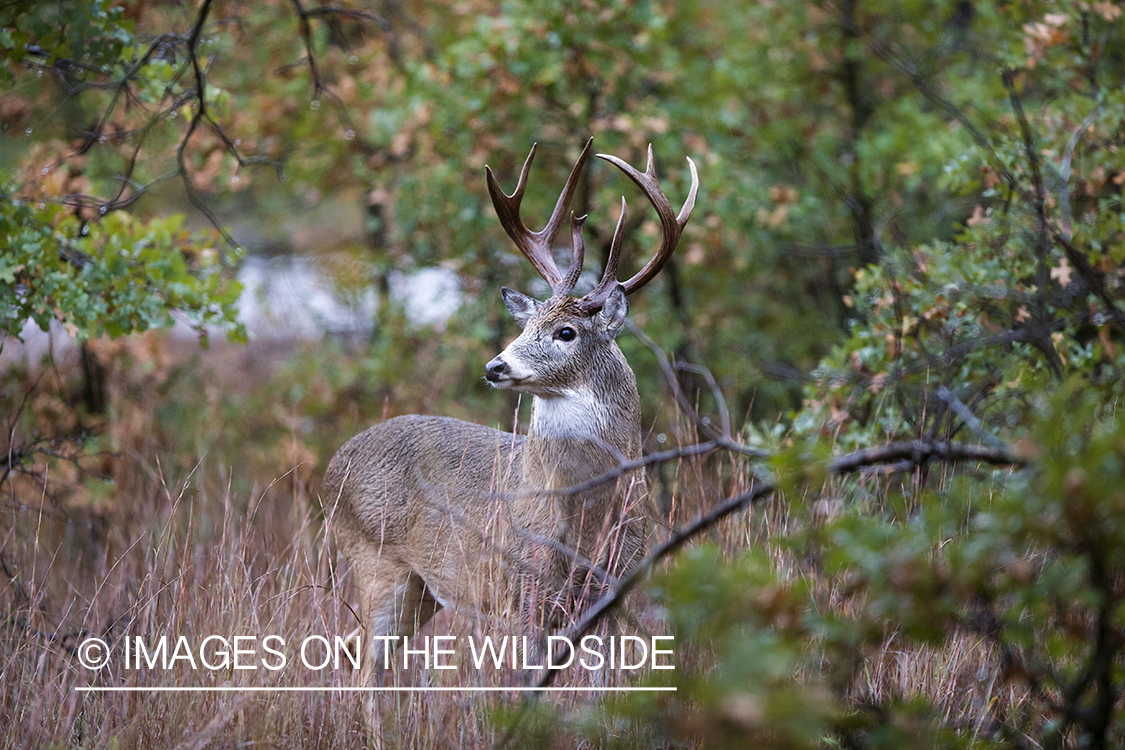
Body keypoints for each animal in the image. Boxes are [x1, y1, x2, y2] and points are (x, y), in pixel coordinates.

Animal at [321, 137, 697, 688]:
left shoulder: (614, 593)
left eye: (566, 332)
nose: (495, 365)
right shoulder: (521, 589)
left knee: (361, 654)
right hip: (375, 559)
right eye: (526, 325)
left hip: (423, 587)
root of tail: (332, 467)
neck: (584, 513)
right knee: (367, 665)